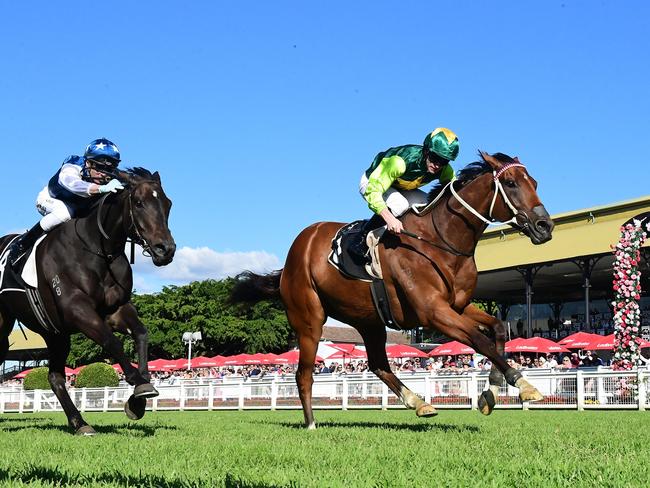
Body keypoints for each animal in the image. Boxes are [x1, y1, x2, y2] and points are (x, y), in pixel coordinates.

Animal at [0, 168, 175, 434]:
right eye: (139, 202)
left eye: (168, 204)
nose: (166, 249)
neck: (96, 249)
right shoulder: (77, 309)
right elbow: (112, 342)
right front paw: (137, 382)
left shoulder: (115, 308)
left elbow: (141, 333)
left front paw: (139, 396)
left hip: (54, 333)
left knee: (55, 377)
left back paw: (80, 422)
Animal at [232, 152, 552, 428]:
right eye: (510, 183)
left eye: (535, 183)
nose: (544, 226)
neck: (440, 241)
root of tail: (294, 253)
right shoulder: (433, 312)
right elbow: (480, 340)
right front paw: (523, 384)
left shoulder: (457, 306)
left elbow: (497, 329)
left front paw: (491, 392)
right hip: (310, 320)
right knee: (304, 373)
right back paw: (311, 422)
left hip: (369, 321)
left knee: (377, 364)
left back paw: (419, 402)